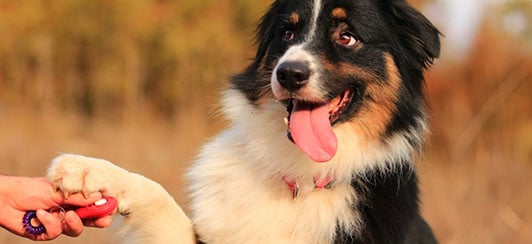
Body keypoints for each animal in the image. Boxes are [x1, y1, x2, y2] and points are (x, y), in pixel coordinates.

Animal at [47, 0, 440, 243]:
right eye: (287, 33)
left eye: (347, 36)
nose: (289, 74)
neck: (301, 177)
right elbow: (157, 193)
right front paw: (87, 169)